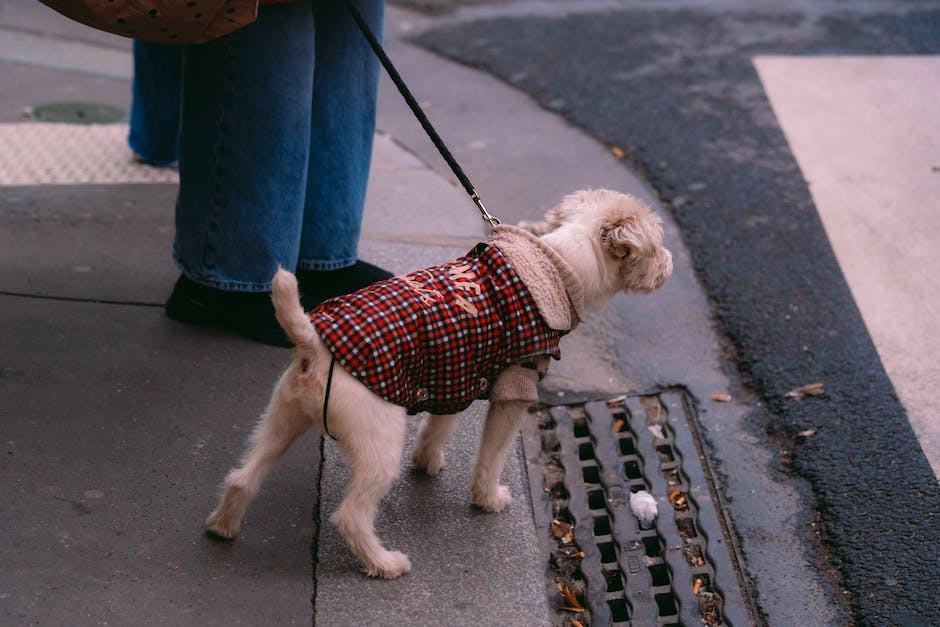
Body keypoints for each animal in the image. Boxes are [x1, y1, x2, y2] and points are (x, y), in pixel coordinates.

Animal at [207, 190, 676, 580]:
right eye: (657, 244)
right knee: (351, 517)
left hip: (282, 419)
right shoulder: (515, 387)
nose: (670, 263)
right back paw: (384, 564)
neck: (563, 263)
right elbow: (492, 454)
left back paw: (222, 527)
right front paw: (488, 498)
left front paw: (427, 460)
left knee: (242, 478)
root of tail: (314, 345)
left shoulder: (453, 373)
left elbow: (438, 427)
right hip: (378, 444)